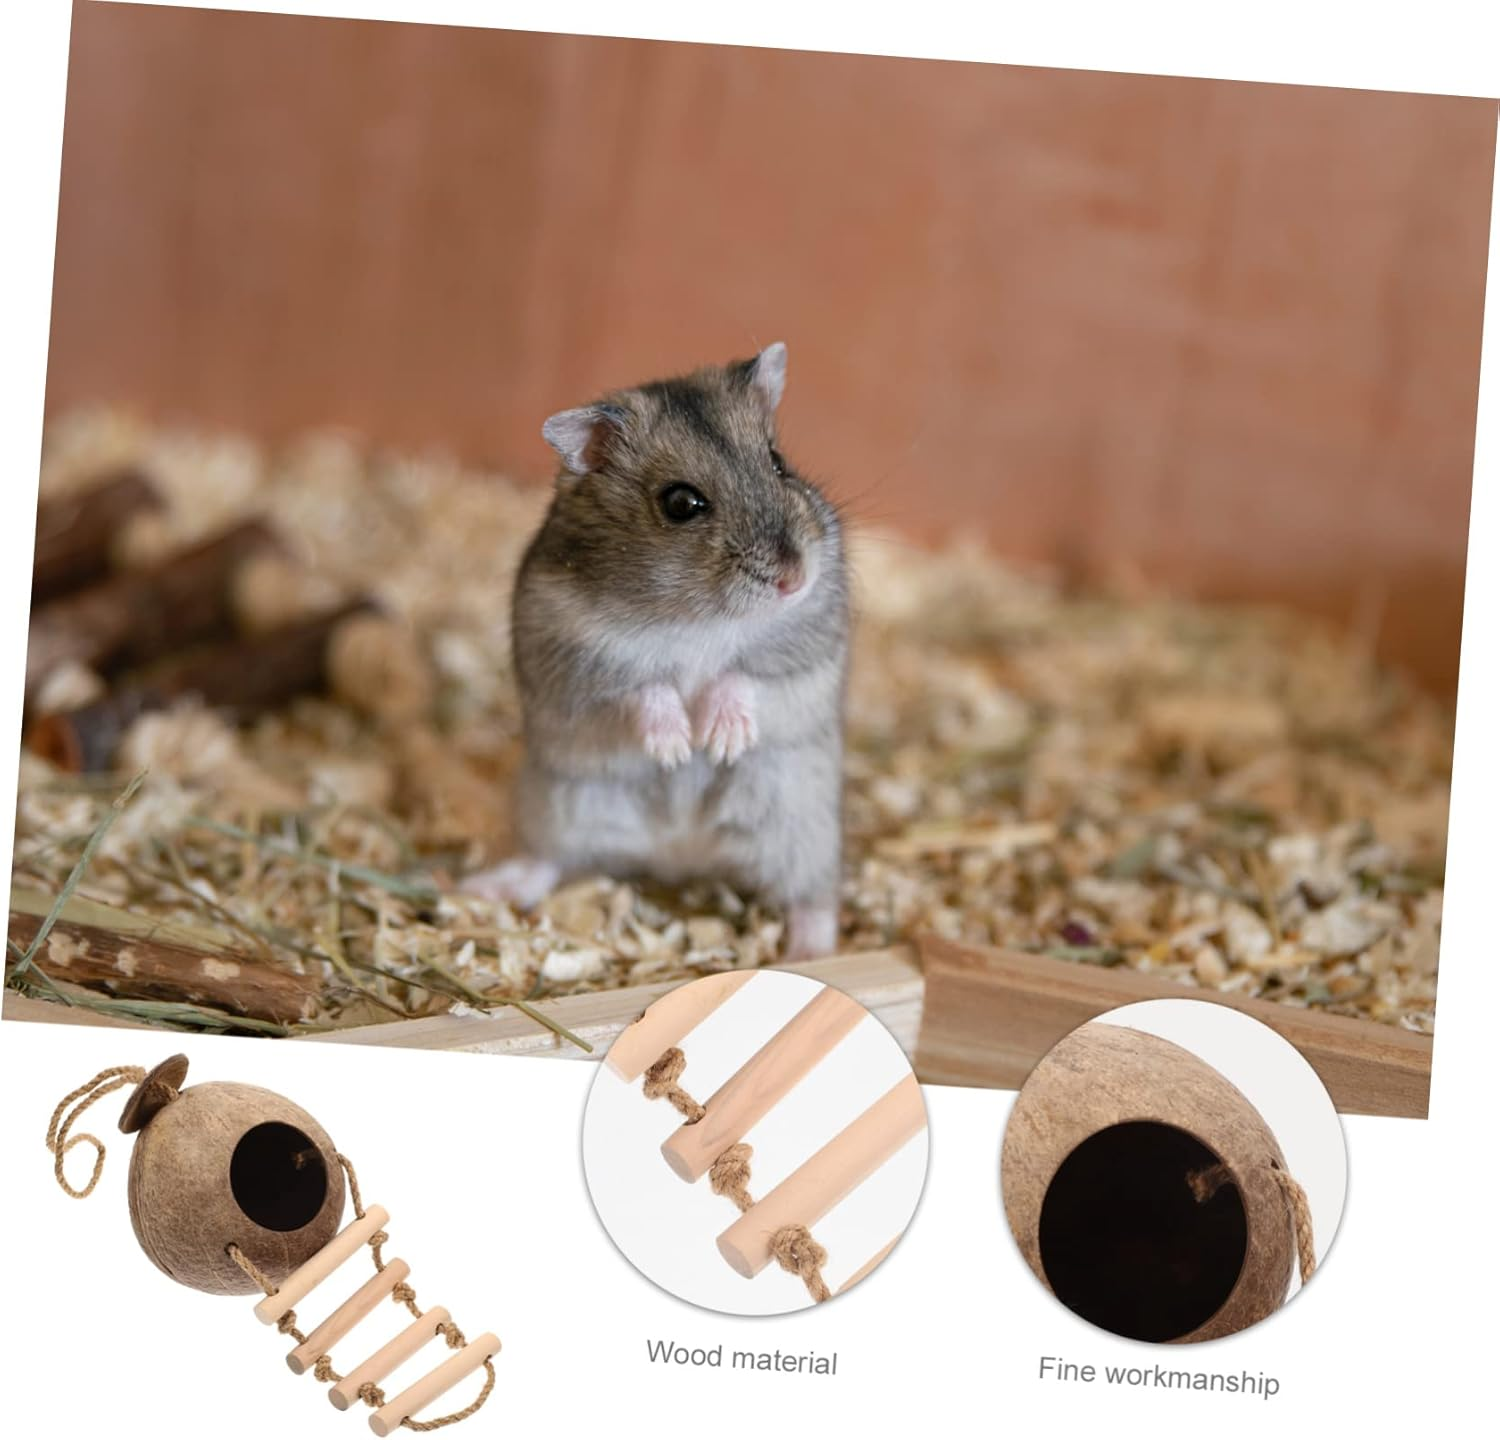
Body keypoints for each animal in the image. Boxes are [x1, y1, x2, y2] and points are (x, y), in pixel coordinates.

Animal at [464, 342, 848, 960]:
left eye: (778, 461)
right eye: (681, 503)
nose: (794, 579)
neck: (697, 616)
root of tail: (679, 854)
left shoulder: (808, 644)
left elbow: (742, 675)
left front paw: (719, 741)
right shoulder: (577, 660)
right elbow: (644, 688)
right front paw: (675, 749)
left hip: (800, 824)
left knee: (812, 898)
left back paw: (810, 954)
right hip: (559, 807)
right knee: (548, 861)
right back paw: (479, 887)